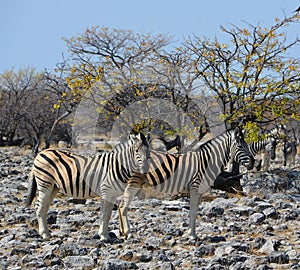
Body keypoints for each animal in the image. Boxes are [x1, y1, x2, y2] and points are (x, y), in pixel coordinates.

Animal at [118, 127, 254, 239]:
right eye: (241, 147)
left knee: (119, 205)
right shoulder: (195, 188)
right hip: (134, 183)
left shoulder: (199, 191)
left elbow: (194, 211)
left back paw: (122, 232)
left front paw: (189, 233)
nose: (253, 162)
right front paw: (192, 235)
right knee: (123, 206)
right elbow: (193, 212)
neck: (206, 162)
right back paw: (128, 233)